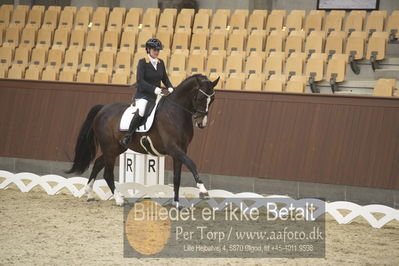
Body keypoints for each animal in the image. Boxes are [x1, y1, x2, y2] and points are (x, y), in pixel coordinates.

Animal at [67, 74, 220, 206]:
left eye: (212, 100)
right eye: (200, 98)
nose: (201, 123)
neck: (175, 113)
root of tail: (103, 109)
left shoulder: (181, 150)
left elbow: (177, 178)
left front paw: (177, 203)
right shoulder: (174, 149)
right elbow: (192, 164)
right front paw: (203, 191)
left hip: (117, 148)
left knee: (98, 163)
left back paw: (89, 193)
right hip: (109, 147)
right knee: (107, 173)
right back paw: (118, 199)